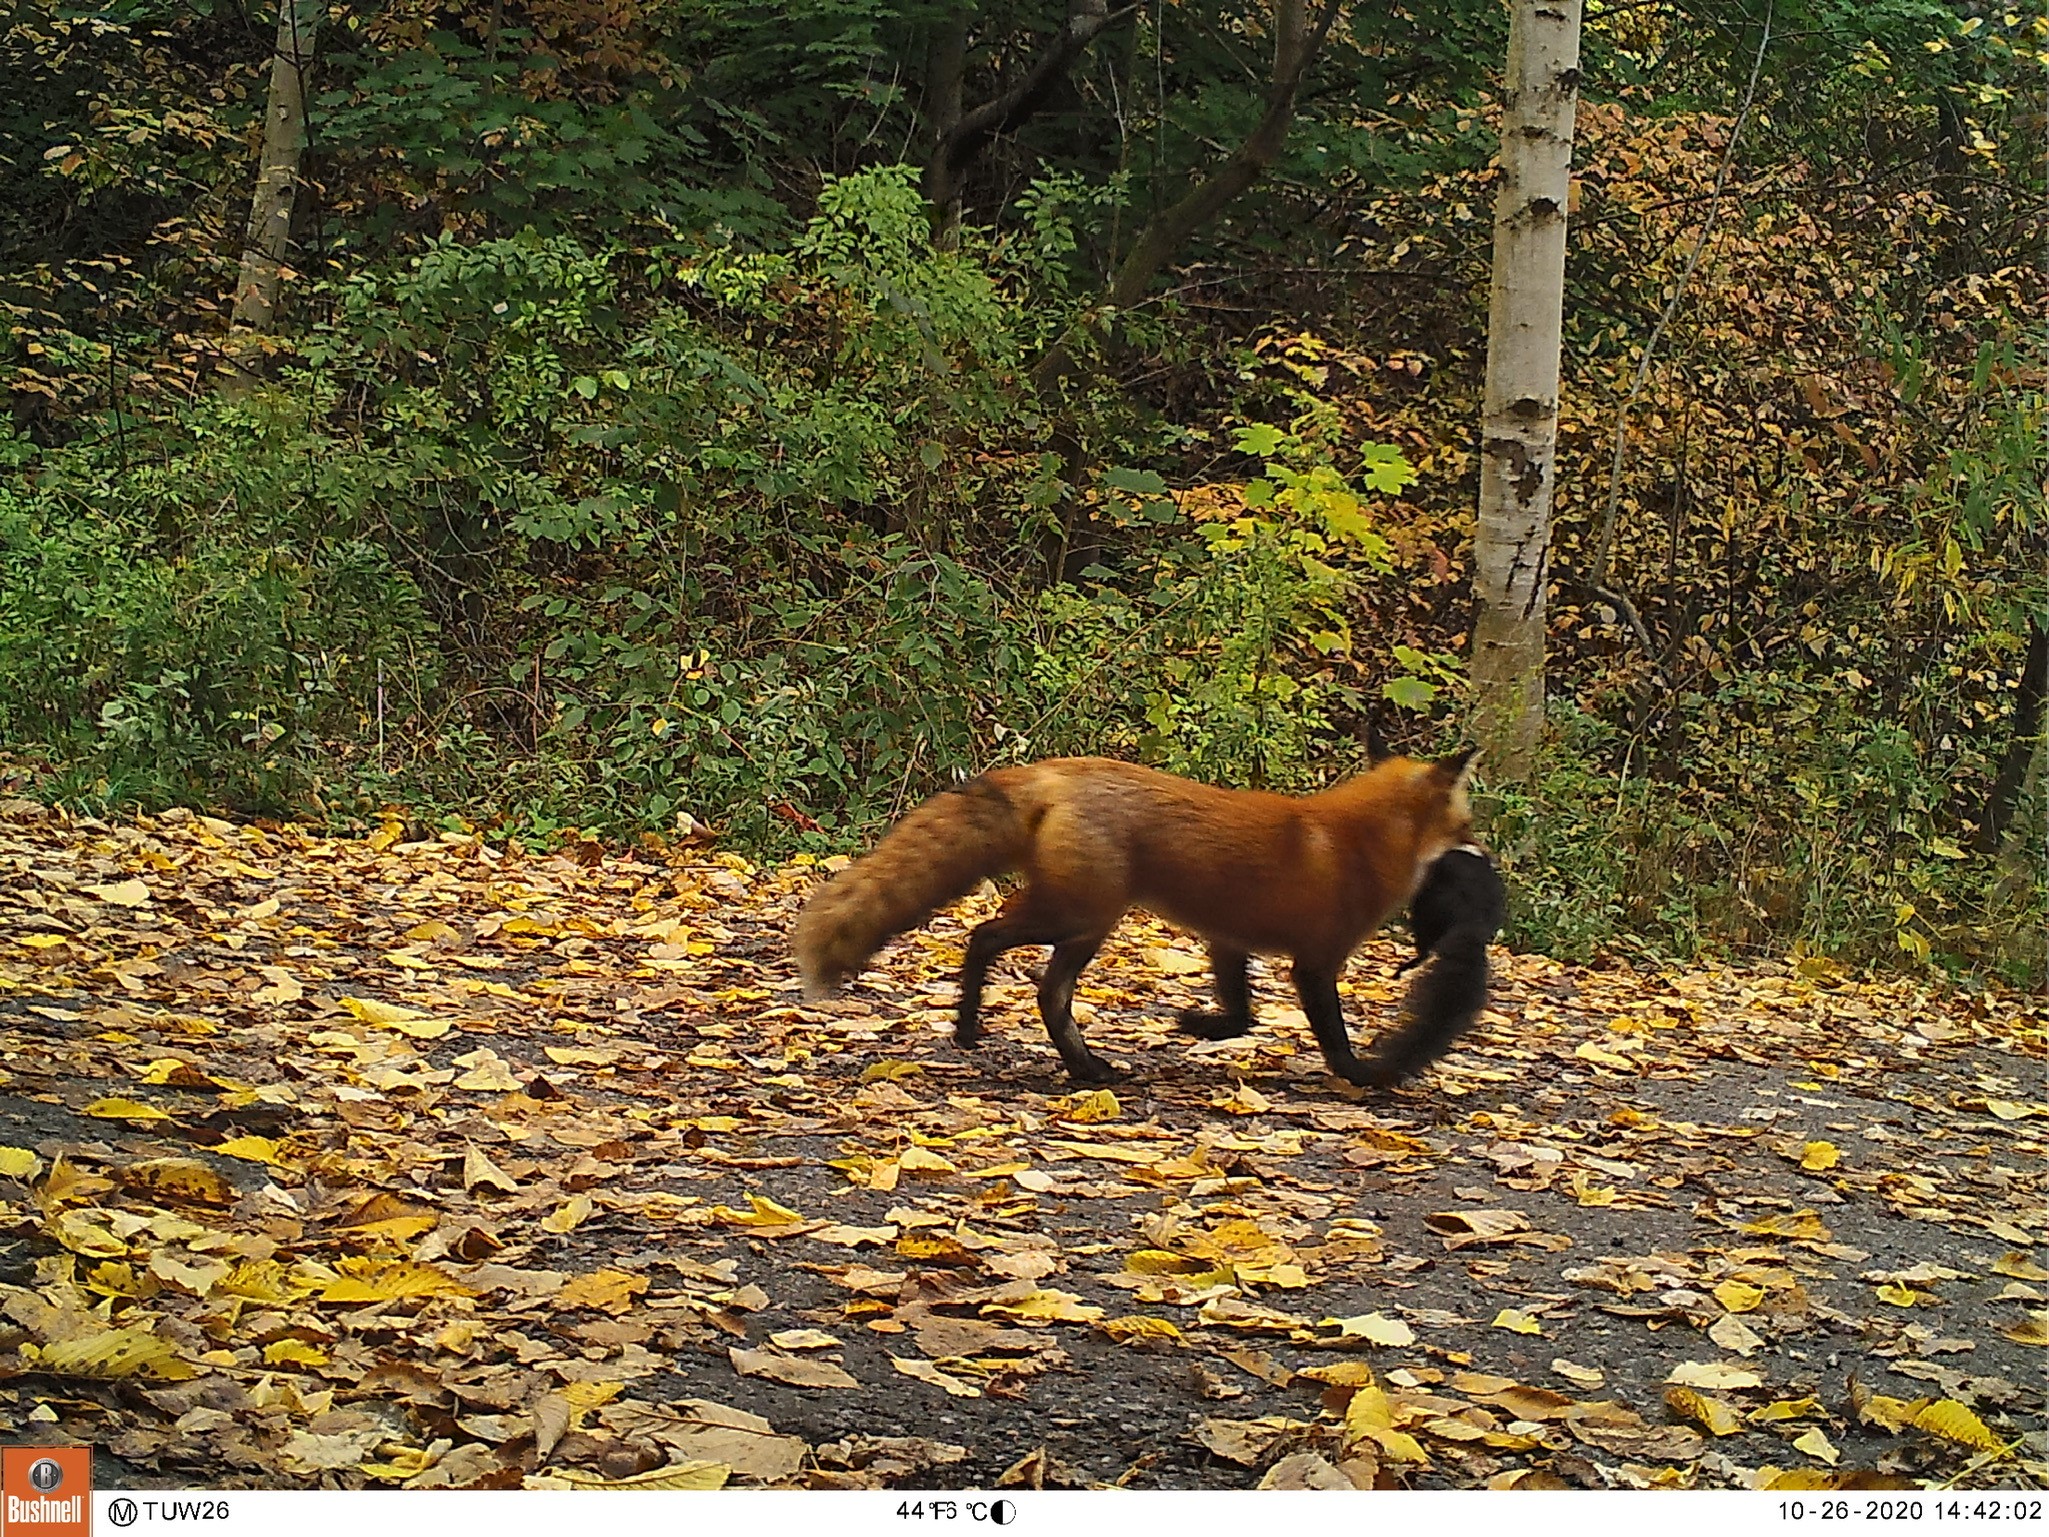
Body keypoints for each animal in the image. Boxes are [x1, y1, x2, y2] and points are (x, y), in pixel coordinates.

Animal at [790, 754, 1483, 1090]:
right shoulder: (1316, 961)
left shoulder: (1228, 940)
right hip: (1077, 913)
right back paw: (967, 1027)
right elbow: (1334, 1040)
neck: (1358, 843)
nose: (1482, 856)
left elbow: (1241, 1015)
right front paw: (1364, 1077)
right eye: (1468, 824)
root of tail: (1056, 770)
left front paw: (1198, 1026)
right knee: (983, 937)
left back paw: (1087, 1069)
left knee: (1049, 995)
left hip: (1087, 925)